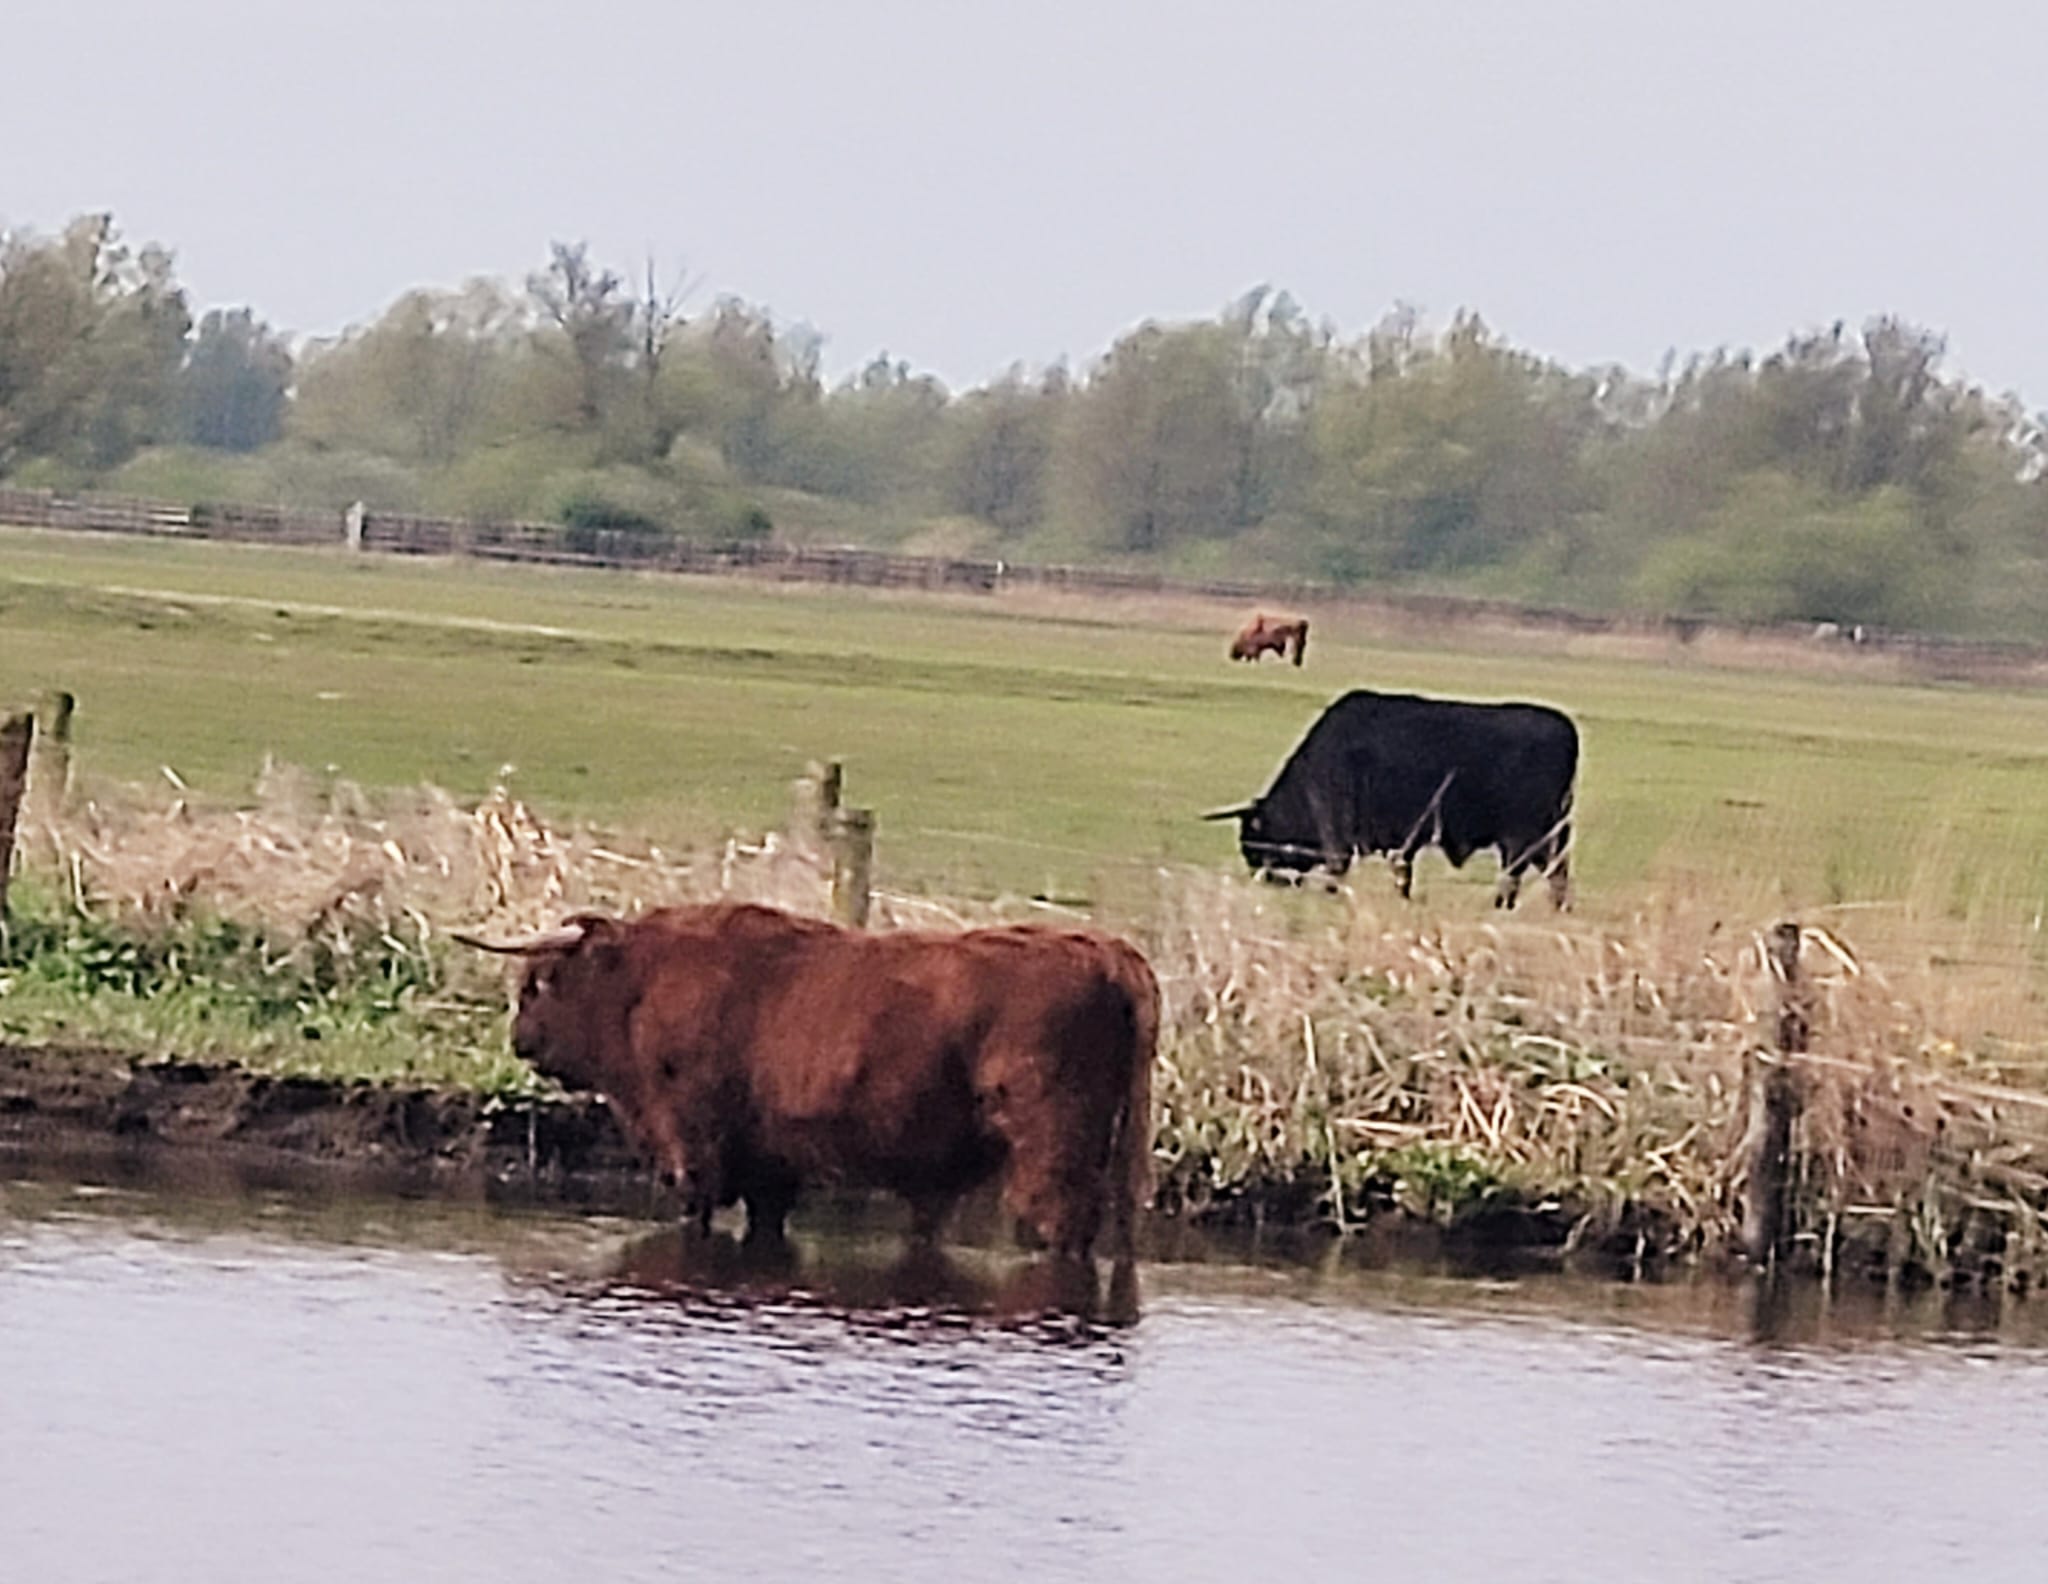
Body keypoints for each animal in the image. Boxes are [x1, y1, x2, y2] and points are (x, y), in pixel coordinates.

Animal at [458, 902, 1157, 1263]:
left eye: (540, 982)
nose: (520, 1040)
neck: (643, 986)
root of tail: (1103, 950)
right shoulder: (769, 1165)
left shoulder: (694, 1143)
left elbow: (696, 1209)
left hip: (1050, 1146)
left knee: (1061, 1221)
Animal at [1203, 689, 1577, 908]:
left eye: (1253, 846)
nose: (1267, 882)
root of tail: (1565, 728)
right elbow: (1402, 875)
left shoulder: (1338, 834)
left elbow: (1338, 870)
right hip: (1547, 838)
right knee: (1554, 873)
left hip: (1522, 836)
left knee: (1515, 874)